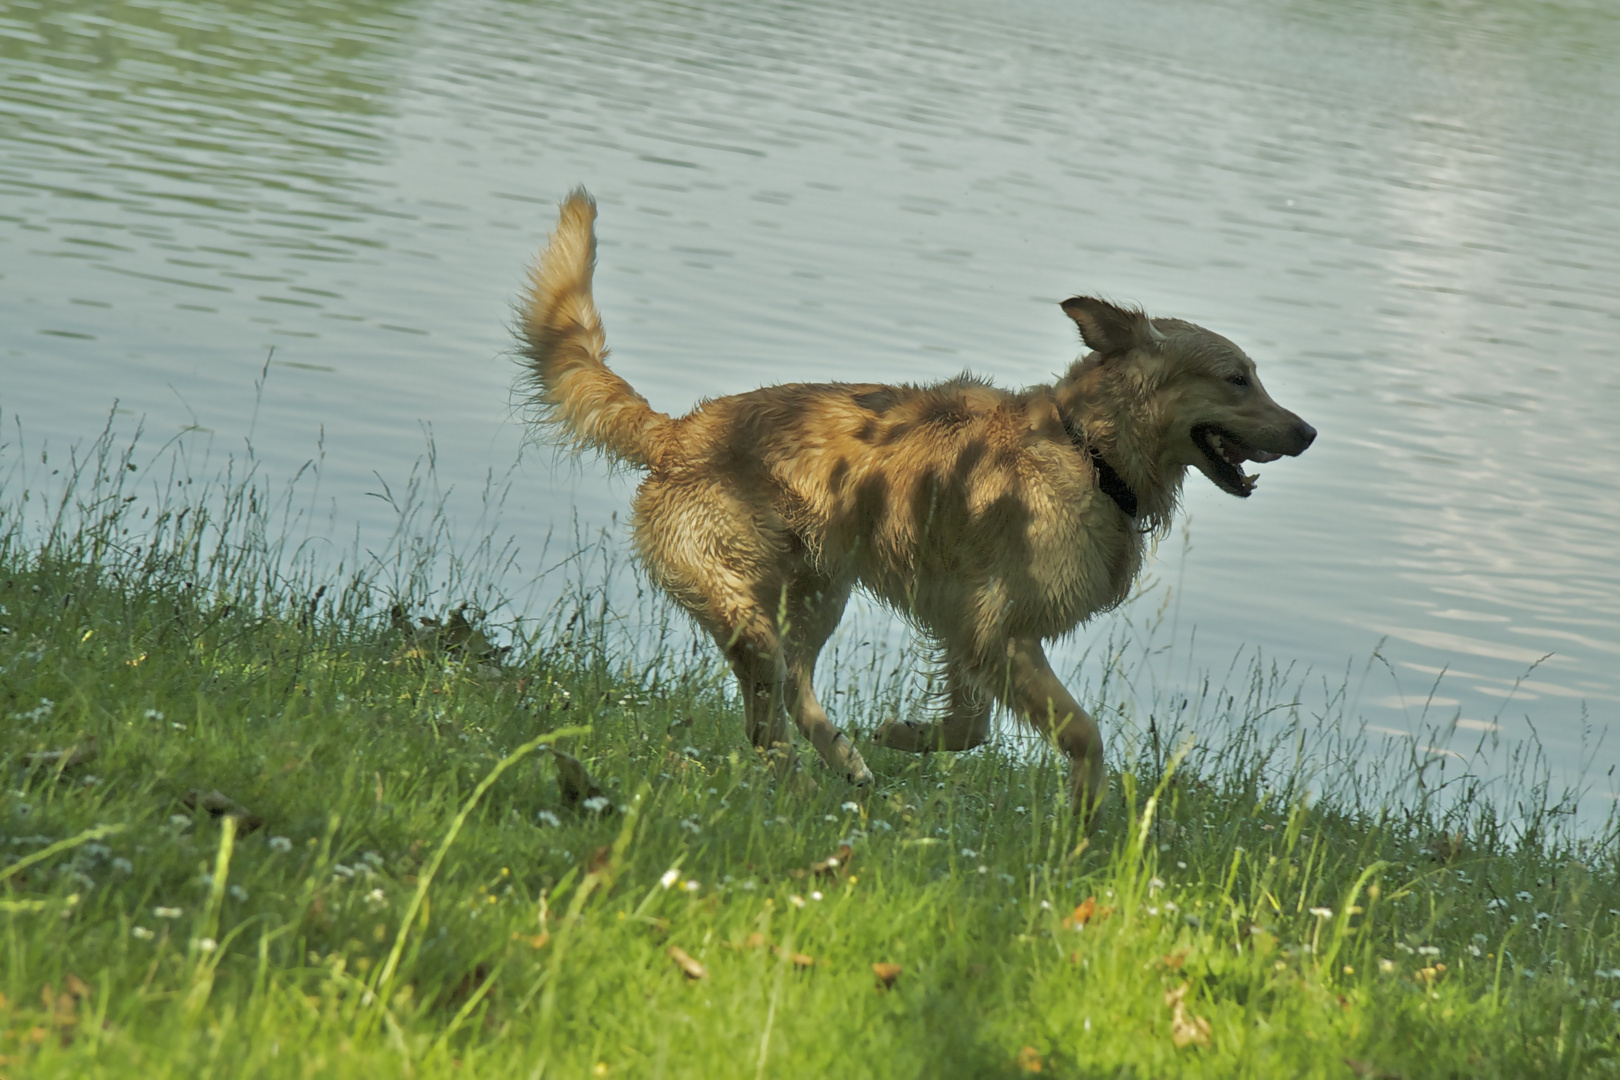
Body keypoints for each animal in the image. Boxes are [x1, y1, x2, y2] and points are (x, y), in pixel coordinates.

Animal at [518, 191, 1315, 819]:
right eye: (1237, 378)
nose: (1308, 432)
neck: (1089, 451)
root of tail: (680, 432)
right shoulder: (997, 629)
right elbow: (1080, 732)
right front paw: (1087, 822)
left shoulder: (969, 625)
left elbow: (973, 728)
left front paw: (905, 736)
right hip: (743, 602)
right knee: (767, 718)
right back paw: (802, 786)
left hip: (818, 592)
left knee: (794, 688)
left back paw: (846, 763)